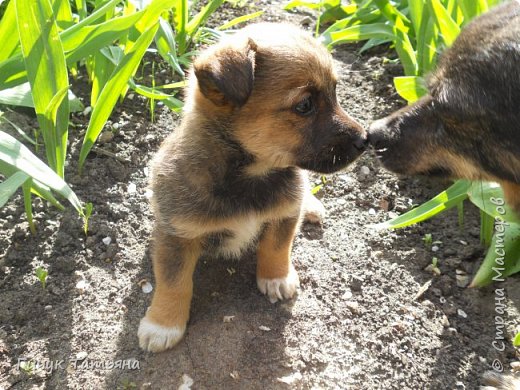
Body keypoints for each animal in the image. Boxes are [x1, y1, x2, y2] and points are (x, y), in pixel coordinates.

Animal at [138, 22, 366, 352]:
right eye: (305, 105)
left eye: (335, 93)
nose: (365, 140)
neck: (250, 176)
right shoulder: (176, 235)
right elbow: (173, 282)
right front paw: (163, 324)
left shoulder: (285, 211)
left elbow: (276, 246)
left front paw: (276, 278)